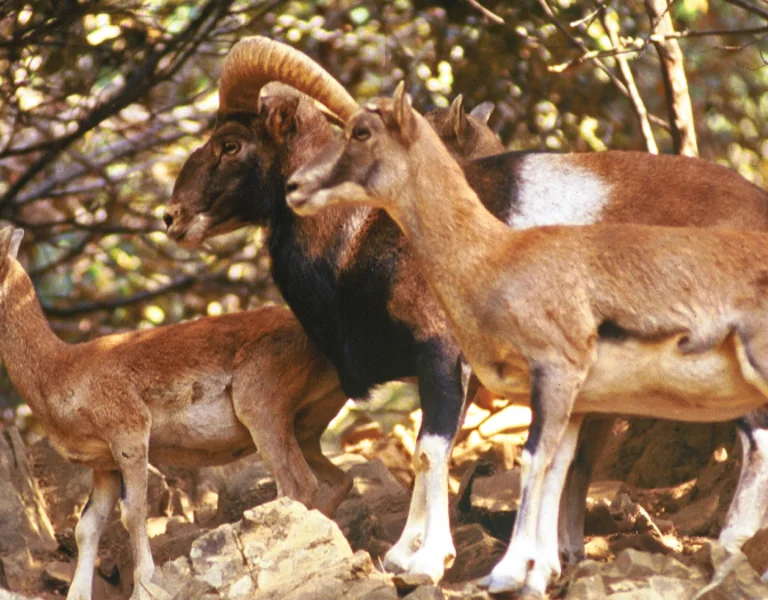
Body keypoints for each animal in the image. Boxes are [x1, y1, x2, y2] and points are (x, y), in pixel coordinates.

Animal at [0, 226, 351, 600]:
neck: (60, 370)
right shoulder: (103, 464)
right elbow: (88, 526)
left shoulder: (130, 435)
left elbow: (132, 513)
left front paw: (144, 587)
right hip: (302, 430)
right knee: (337, 480)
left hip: (262, 412)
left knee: (296, 485)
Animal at [164, 35, 768, 582]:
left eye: (231, 144)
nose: (172, 217)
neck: (360, 239)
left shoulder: (440, 357)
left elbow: (431, 451)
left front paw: (425, 562)